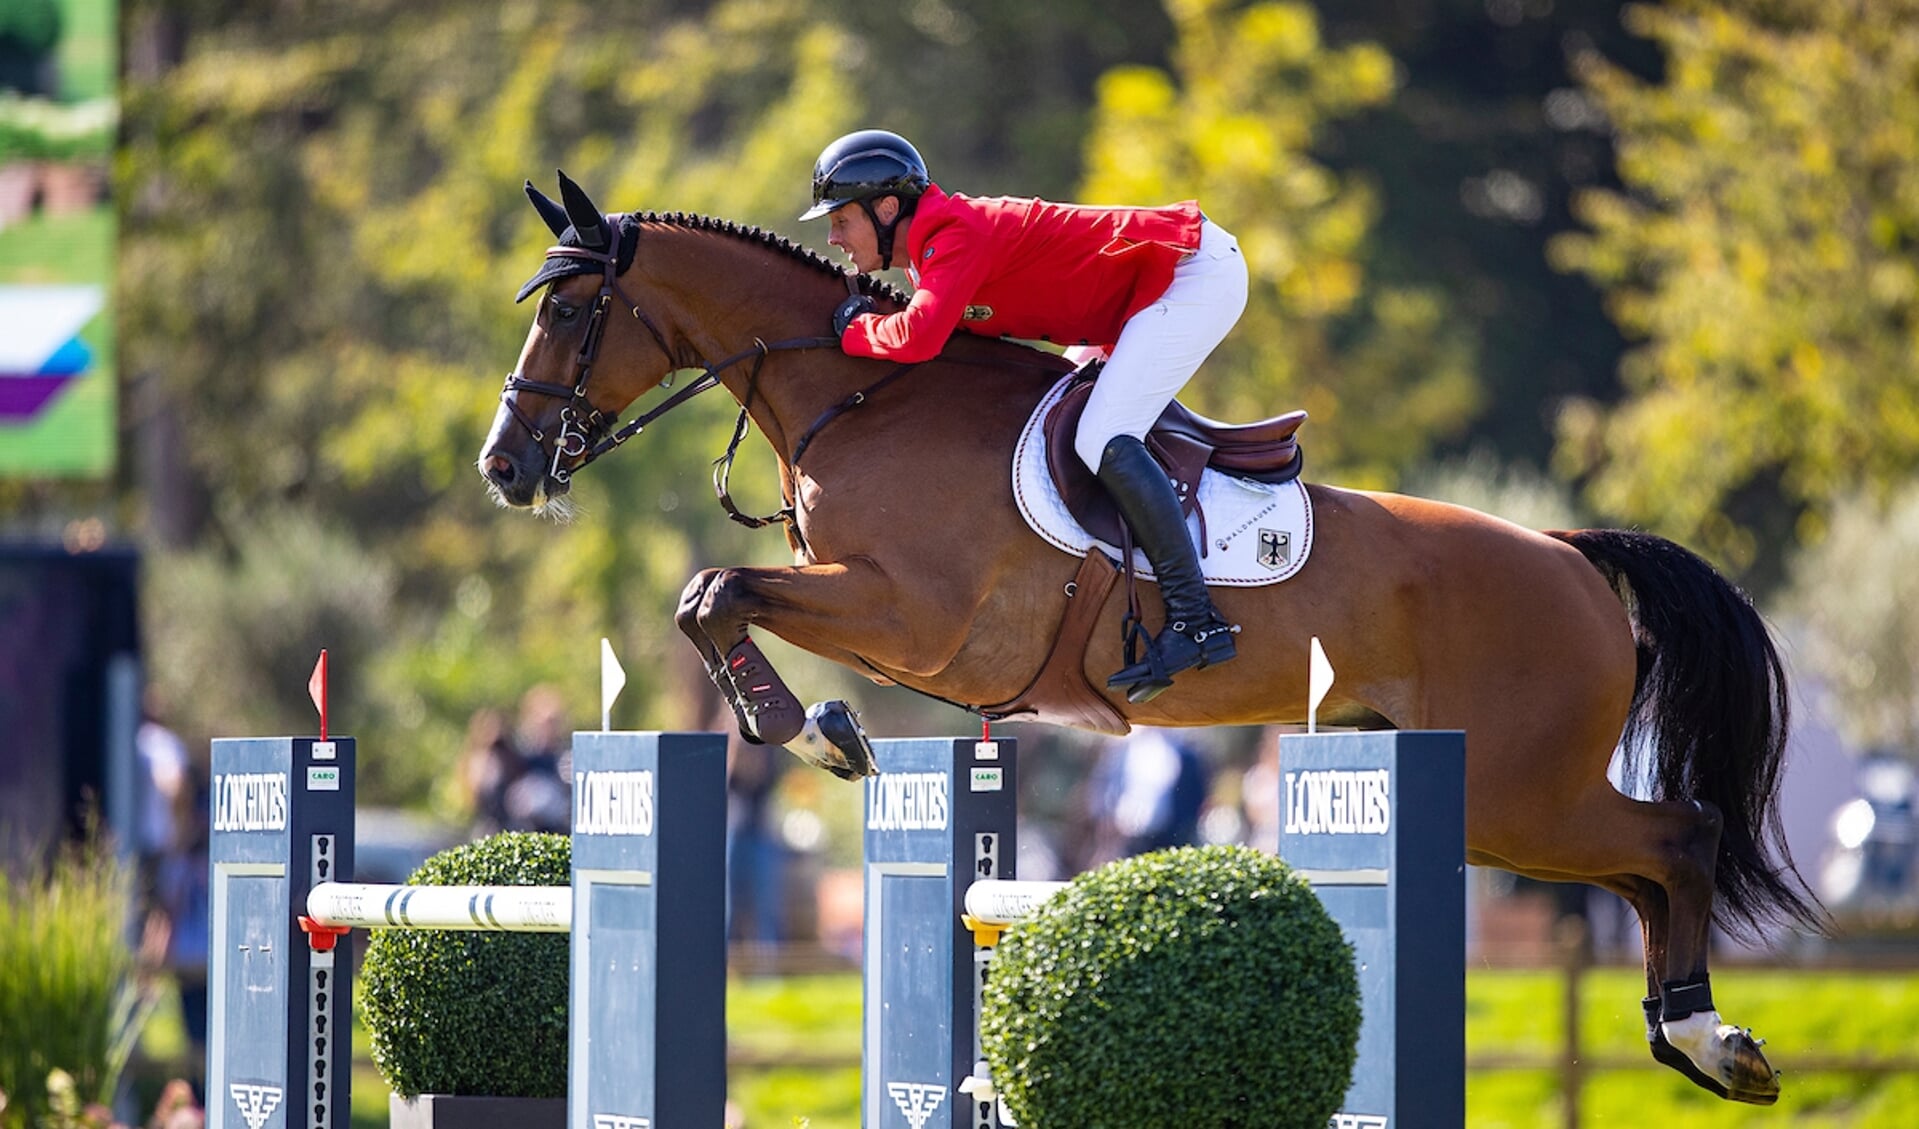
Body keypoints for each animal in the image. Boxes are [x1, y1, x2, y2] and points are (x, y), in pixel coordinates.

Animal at [475, 173, 1811, 1105]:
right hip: (1508, 798)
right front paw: (822, 726)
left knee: (1678, 838)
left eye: (574, 309)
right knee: (1647, 868)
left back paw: (1712, 1040)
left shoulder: (912, 615)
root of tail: (1569, 555)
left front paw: (808, 732)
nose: (502, 469)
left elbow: (714, 591)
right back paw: (1689, 1037)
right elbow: (712, 597)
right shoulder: (900, 626)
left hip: (1519, 795)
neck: (860, 395)